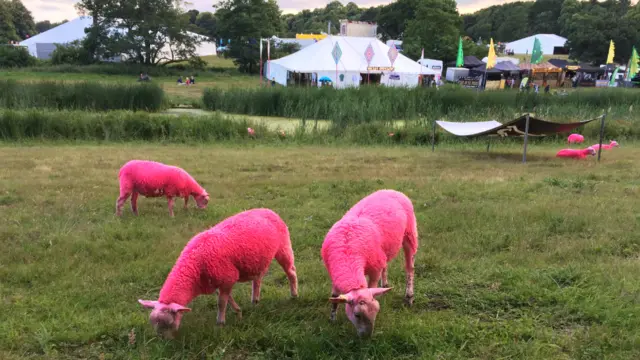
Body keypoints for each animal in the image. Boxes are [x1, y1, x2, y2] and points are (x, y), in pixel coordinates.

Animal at [138, 207, 298, 338]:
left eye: (168, 323)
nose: (163, 341)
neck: (194, 266)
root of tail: (268, 209)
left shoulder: (227, 277)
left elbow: (221, 303)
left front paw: (220, 322)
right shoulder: (220, 280)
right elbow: (226, 298)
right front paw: (238, 311)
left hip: (283, 246)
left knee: (291, 272)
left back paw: (294, 295)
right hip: (257, 260)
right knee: (257, 279)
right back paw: (255, 300)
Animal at [320, 188, 420, 338]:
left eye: (377, 312)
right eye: (357, 315)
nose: (367, 337)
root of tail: (391, 190)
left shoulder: (374, 270)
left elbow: (371, 286)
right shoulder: (335, 272)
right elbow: (335, 296)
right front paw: (332, 319)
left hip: (409, 234)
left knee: (410, 268)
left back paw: (409, 296)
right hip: (383, 251)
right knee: (385, 264)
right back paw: (385, 285)